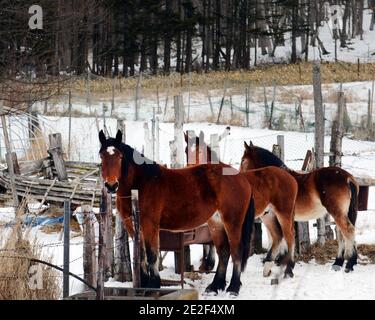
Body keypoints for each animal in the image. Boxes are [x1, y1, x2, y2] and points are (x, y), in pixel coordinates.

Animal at [98, 130, 258, 296]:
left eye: (120, 156)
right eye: (102, 156)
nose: (111, 185)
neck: (141, 183)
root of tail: (242, 178)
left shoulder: (150, 225)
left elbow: (151, 255)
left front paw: (153, 286)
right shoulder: (132, 226)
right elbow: (141, 254)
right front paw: (142, 285)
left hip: (233, 222)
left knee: (236, 251)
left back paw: (233, 288)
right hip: (216, 223)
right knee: (224, 252)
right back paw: (214, 287)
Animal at [185, 130, 300, 278]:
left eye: (199, 152)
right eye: (186, 151)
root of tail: (290, 177)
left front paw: (210, 265)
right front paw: (206, 265)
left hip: (284, 212)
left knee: (289, 235)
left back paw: (288, 268)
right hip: (267, 215)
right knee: (277, 235)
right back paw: (268, 267)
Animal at [242, 142, 360, 272]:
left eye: (243, 160)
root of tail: (348, 178)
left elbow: (278, 236)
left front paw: (280, 259)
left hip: (337, 212)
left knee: (348, 230)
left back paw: (349, 263)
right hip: (340, 213)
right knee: (341, 233)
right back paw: (338, 262)